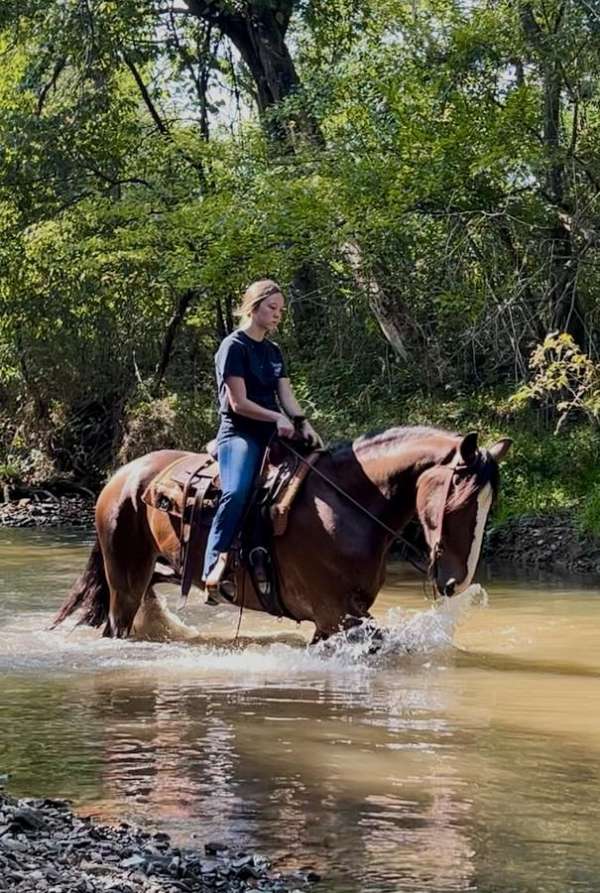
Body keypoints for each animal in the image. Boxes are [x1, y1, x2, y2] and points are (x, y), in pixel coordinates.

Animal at [52, 426, 510, 640]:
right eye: (460, 504)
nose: (456, 582)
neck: (345, 505)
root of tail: (122, 476)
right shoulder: (336, 614)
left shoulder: (336, 619)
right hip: (124, 577)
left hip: (157, 569)